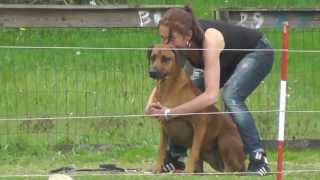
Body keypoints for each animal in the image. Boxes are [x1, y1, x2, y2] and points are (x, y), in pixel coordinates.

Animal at [146, 43, 246, 173]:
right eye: (153, 57)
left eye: (165, 59)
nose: (152, 72)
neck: (167, 88)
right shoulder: (164, 128)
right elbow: (161, 150)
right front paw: (157, 168)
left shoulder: (200, 124)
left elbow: (194, 151)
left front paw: (188, 171)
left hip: (225, 140)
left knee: (231, 169)